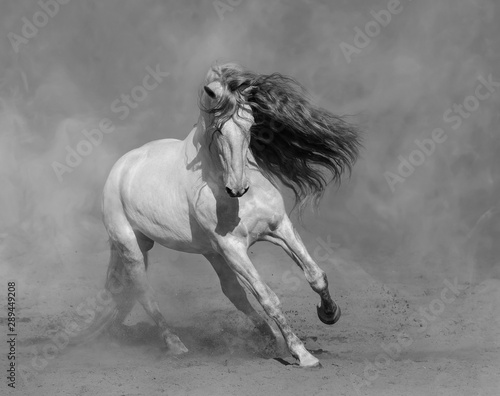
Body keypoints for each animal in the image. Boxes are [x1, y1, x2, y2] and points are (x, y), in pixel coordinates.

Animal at [99, 62, 362, 368]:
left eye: (250, 123)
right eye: (218, 129)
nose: (237, 188)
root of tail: (121, 167)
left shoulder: (279, 228)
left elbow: (315, 275)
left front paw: (329, 313)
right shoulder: (233, 248)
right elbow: (268, 297)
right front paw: (304, 355)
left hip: (210, 253)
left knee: (233, 293)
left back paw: (270, 338)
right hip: (133, 247)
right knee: (144, 293)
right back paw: (176, 345)